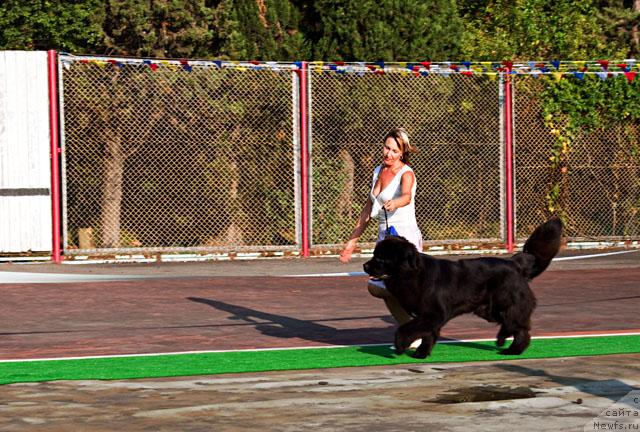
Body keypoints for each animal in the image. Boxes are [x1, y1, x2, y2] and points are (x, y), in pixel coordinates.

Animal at [362, 218, 564, 360]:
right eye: (374, 255)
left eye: (380, 259)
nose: (365, 266)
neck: (413, 274)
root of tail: (515, 264)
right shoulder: (430, 316)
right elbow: (427, 334)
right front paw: (421, 354)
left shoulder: (432, 314)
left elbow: (407, 328)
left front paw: (400, 345)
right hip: (488, 309)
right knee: (511, 324)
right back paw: (501, 339)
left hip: (506, 304)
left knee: (520, 328)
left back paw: (513, 350)